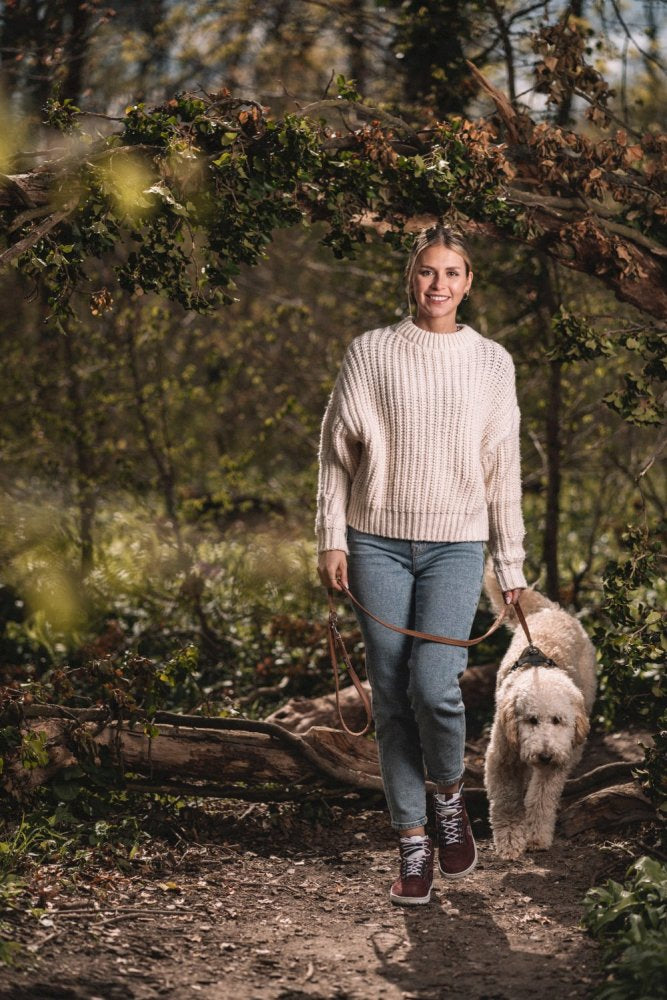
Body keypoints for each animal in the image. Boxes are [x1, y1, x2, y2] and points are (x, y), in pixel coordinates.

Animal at [482, 564, 596, 860]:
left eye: (557, 721)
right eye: (531, 720)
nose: (545, 755)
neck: (537, 671)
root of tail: (551, 610)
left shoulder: (554, 765)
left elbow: (542, 798)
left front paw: (536, 836)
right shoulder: (501, 758)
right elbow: (507, 800)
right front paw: (510, 839)